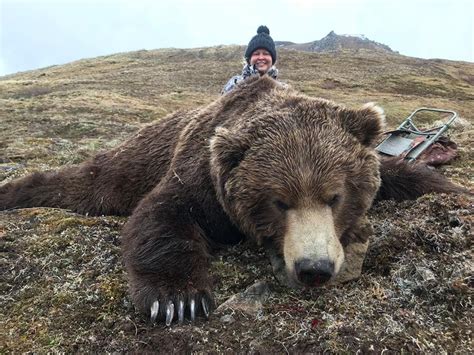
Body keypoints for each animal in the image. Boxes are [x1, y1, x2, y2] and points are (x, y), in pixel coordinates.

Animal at [0, 76, 462, 326]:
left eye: (335, 197)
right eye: (279, 201)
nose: (313, 268)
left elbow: (398, 174)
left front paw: (451, 188)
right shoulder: (201, 175)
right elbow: (160, 214)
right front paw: (179, 300)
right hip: (131, 162)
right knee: (87, 183)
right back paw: (16, 191)